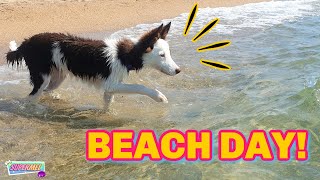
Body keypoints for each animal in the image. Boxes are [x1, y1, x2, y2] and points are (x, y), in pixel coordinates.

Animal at [5, 22, 180, 109]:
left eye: (168, 53)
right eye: (162, 55)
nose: (178, 70)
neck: (125, 55)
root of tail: (26, 43)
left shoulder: (110, 88)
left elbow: (107, 105)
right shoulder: (111, 84)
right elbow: (140, 87)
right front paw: (159, 97)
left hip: (57, 78)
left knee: (47, 91)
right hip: (41, 78)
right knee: (30, 98)